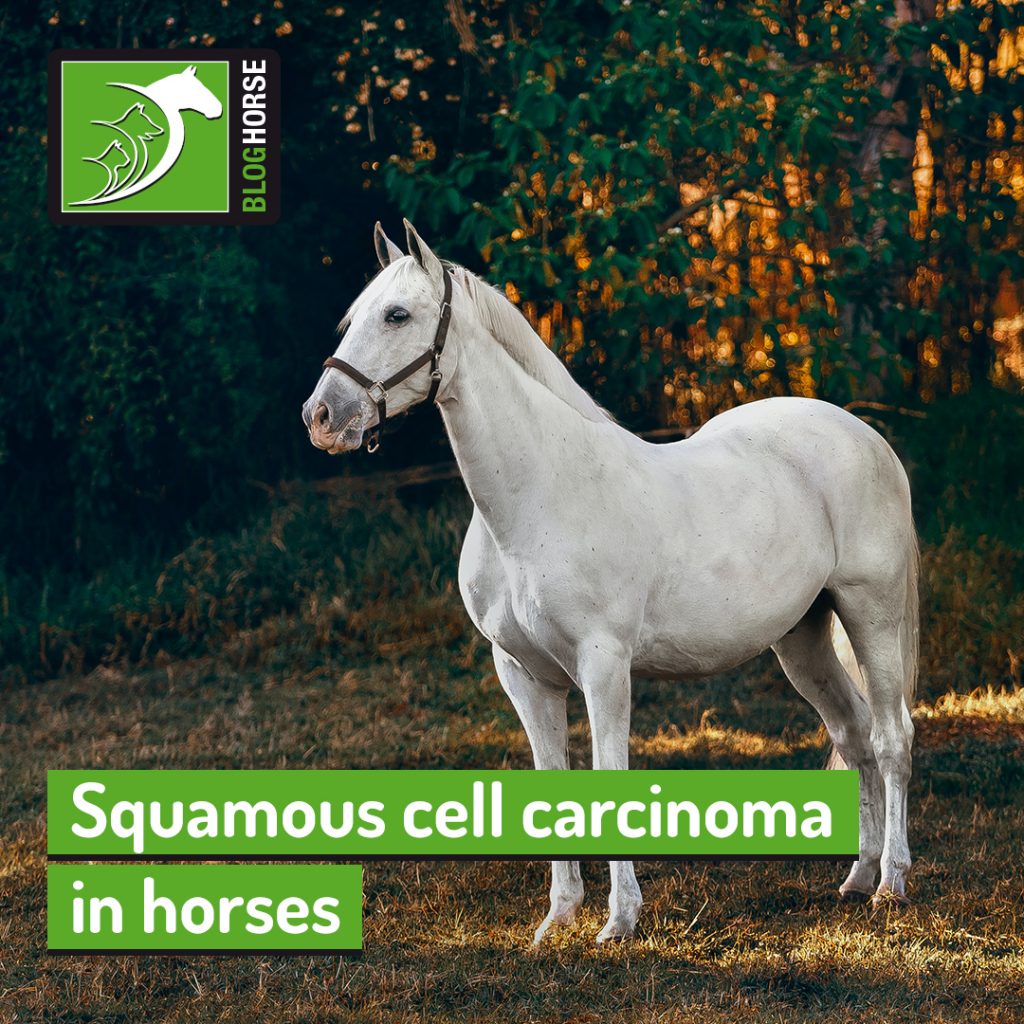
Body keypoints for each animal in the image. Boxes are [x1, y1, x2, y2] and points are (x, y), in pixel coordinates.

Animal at [302, 221, 919, 945]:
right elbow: (553, 786)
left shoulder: (604, 664)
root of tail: (866, 437)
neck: (539, 496)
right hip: (802, 638)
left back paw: (891, 883)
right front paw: (558, 919)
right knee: (853, 734)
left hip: (870, 613)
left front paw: (619, 921)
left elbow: (608, 777)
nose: (321, 417)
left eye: (397, 315)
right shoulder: (523, 673)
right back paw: (856, 877)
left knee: (891, 736)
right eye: (352, 318)